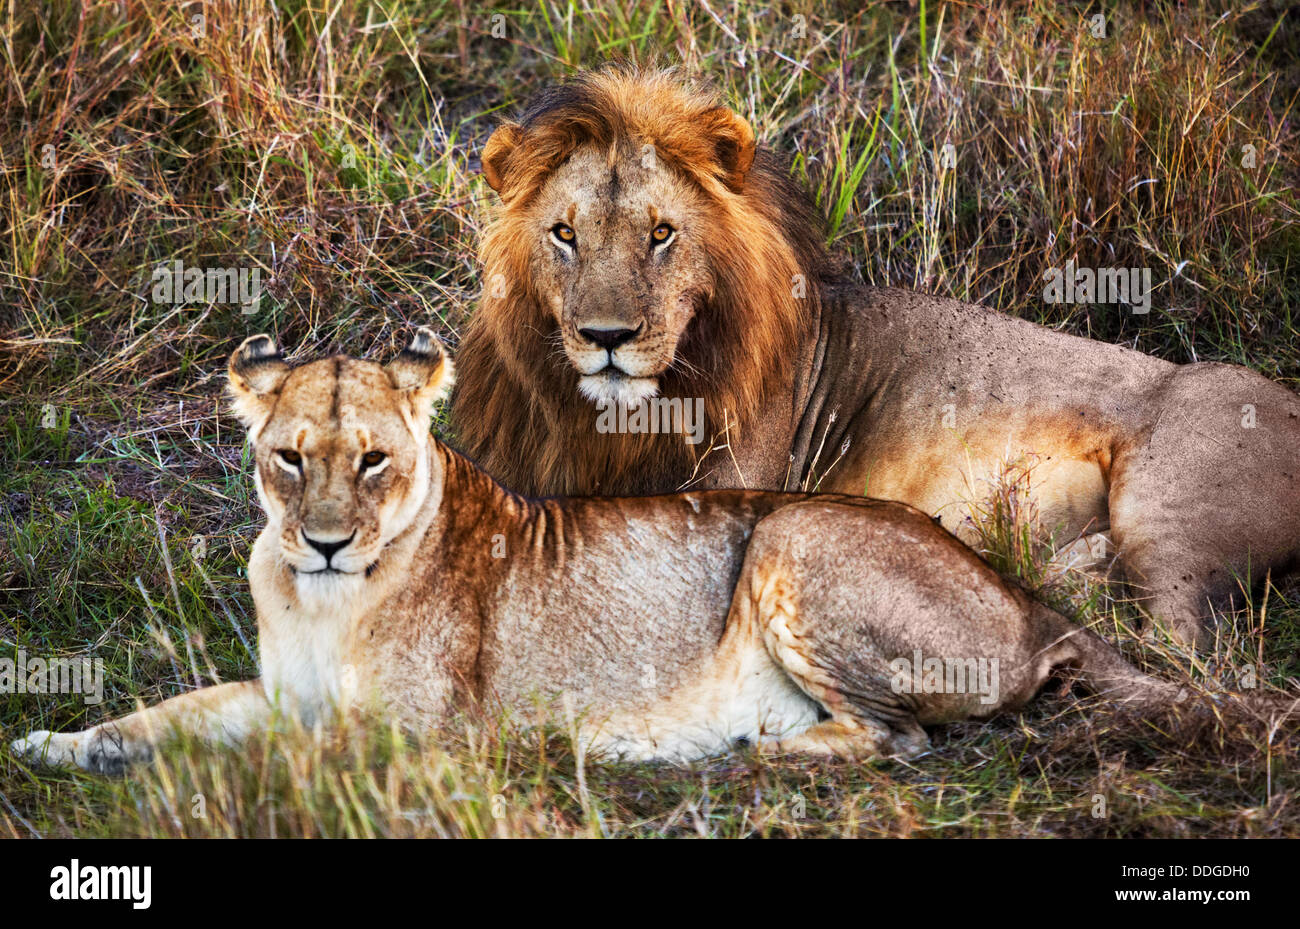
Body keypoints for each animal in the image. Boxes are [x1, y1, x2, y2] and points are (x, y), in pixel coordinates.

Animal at [10, 331, 1170, 774]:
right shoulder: (278, 689)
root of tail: (1035, 608)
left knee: (901, 738)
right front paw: (56, 743)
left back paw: (748, 745)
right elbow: (165, 714)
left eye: (376, 458)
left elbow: (282, 760)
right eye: (290, 457)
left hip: (788, 531)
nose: (329, 541)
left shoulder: (424, 737)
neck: (318, 598)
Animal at [454, 67, 1300, 647]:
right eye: (565, 234)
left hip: (1169, 503)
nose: (606, 337)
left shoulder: (731, 490)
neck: (613, 425)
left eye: (661, 233)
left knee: (1177, 643)